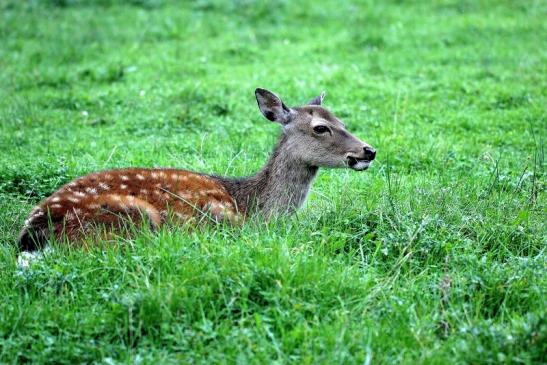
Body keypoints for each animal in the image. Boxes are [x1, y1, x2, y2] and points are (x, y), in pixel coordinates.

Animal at [18, 88, 376, 253]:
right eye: (320, 128)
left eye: (342, 122)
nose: (368, 150)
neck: (253, 207)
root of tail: (32, 234)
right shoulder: (224, 221)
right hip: (135, 217)